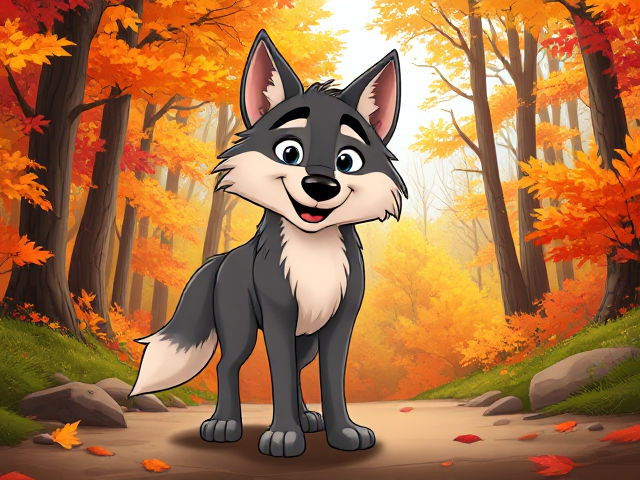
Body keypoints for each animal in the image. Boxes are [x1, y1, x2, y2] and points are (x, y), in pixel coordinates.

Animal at [129, 29, 407, 458]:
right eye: (290, 152)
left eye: (347, 160)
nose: (321, 186)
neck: (313, 254)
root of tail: (223, 259)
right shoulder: (279, 315)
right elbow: (278, 375)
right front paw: (283, 437)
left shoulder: (340, 320)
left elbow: (331, 380)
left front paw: (344, 433)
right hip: (242, 328)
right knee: (228, 366)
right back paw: (224, 424)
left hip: (305, 340)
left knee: (296, 369)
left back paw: (308, 418)